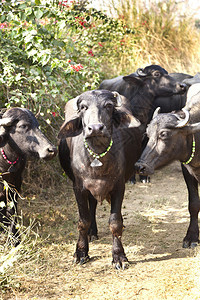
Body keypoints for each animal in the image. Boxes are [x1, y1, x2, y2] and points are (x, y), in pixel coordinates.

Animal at [0, 108, 57, 246]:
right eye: (23, 126)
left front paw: (15, 239)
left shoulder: (16, 184)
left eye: (37, 125)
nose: (52, 150)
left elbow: (12, 210)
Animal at [58, 89, 141, 270]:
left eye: (108, 106)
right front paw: (81, 252)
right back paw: (92, 232)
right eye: (83, 107)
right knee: (92, 207)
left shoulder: (119, 187)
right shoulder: (79, 188)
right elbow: (83, 220)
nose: (95, 128)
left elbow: (115, 222)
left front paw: (119, 256)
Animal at [135, 82, 200, 248]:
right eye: (148, 134)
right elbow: (193, 204)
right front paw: (191, 236)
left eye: (163, 134)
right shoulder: (187, 171)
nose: (140, 167)